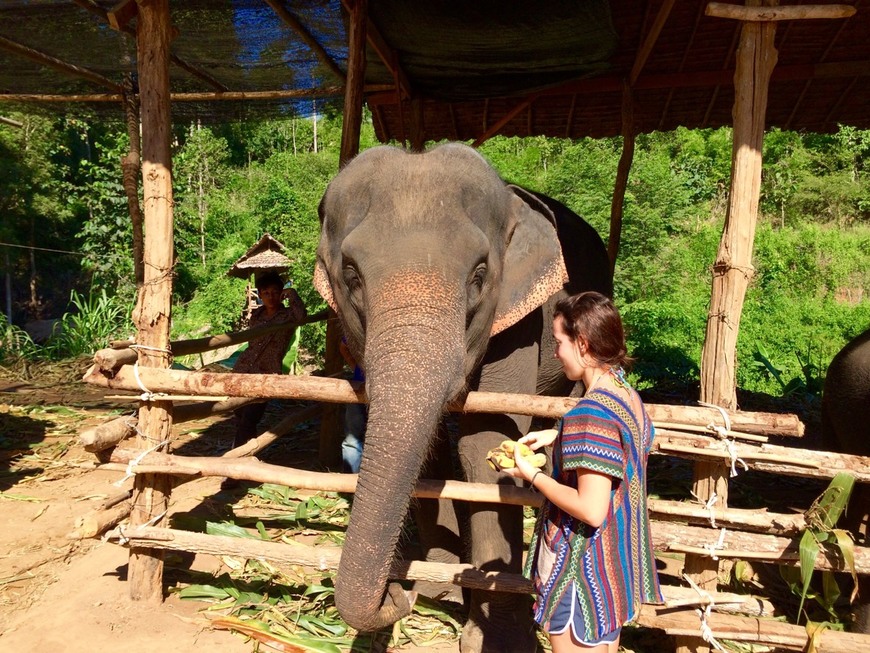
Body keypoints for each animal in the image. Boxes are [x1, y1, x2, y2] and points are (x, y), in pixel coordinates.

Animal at [314, 141, 612, 648]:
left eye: (479, 275)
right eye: (351, 275)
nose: (397, 593)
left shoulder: (518, 319)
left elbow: (484, 440)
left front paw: (497, 638)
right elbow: (430, 449)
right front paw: (439, 591)